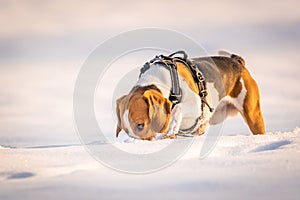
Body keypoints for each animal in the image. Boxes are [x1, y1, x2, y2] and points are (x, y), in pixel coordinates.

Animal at [115, 50, 264, 140]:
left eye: (140, 125)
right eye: (127, 131)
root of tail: (238, 62)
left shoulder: (195, 103)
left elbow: (177, 108)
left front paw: (171, 128)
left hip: (253, 115)